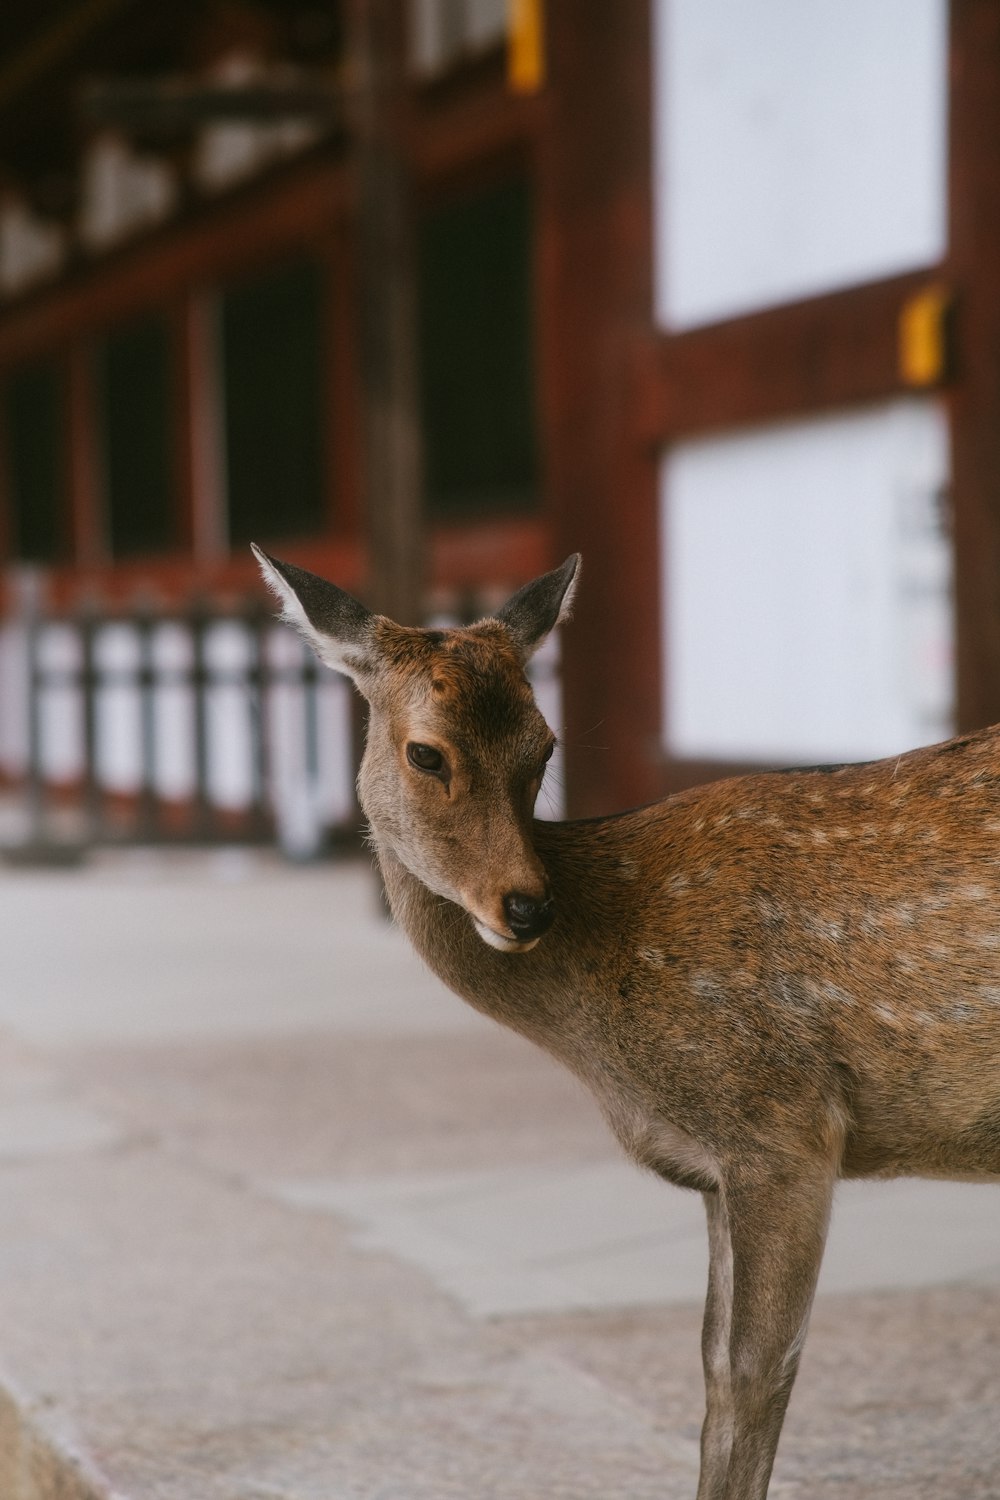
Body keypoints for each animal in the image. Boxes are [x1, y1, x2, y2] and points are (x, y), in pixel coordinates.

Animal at [254, 549, 1000, 1500]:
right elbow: (714, 1370)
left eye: (544, 745)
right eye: (425, 753)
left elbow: (760, 1374)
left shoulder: (784, 1124)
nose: (524, 904)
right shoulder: (720, 1165)